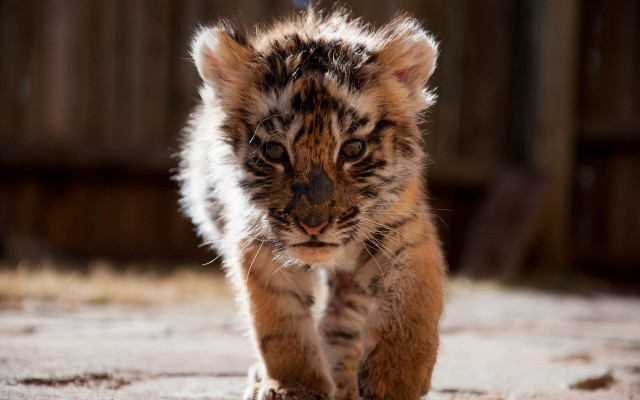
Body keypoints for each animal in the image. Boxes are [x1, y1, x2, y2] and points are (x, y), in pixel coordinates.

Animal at [177, 7, 445, 400]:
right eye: (274, 151)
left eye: (353, 149)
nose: (314, 226)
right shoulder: (256, 241)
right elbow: (279, 320)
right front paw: (293, 386)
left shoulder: (402, 228)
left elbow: (413, 298)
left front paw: (396, 378)